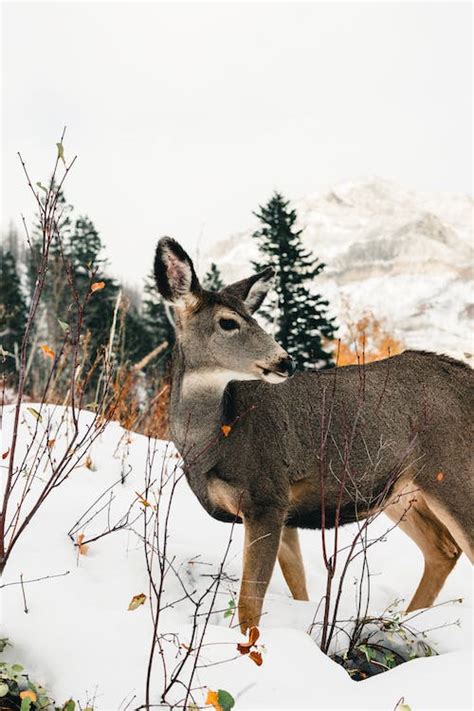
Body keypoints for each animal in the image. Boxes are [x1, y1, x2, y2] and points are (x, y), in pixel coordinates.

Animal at [154, 238, 472, 636]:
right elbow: (298, 587)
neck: (210, 443)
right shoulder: (281, 510)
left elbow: (249, 605)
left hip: (453, 471)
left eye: (254, 318)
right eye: (228, 322)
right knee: (442, 549)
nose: (284, 361)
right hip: (402, 490)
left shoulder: (266, 495)